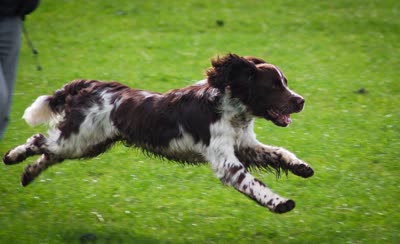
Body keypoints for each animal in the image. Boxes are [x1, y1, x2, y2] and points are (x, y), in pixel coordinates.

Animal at [3, 53, 312, 214]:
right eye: (274, 86)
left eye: (285, 82)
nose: (301, 101)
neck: (232, 110)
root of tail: (90, 85)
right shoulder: (226, 161)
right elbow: (253, 183)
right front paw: (280, 203)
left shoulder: (245, 145)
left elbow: (278, 153)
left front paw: (302, 167)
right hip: (79, 139)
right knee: (39, 141)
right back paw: (11, 157)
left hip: (88, 144)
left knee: (48, 153)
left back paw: (27, 175)